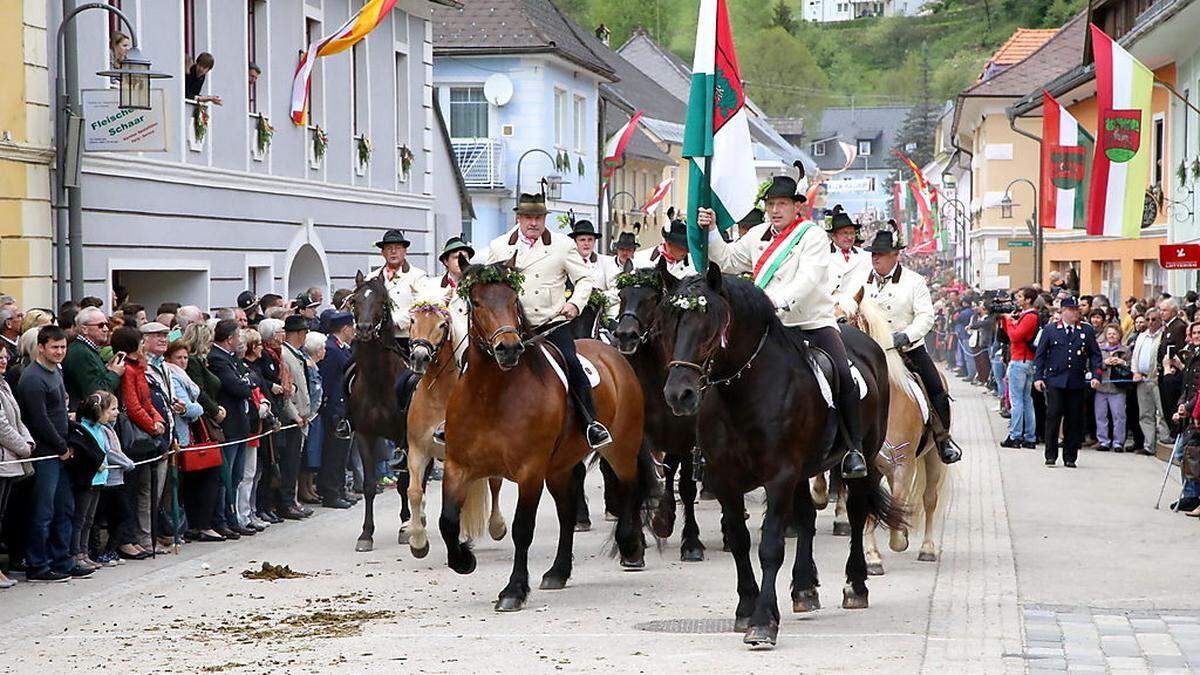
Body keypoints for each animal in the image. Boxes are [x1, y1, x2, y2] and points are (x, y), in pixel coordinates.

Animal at [403, 299, 506, 557]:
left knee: (494, 483)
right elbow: (414, 491)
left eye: (442, 325)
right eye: (412, 321)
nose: (419, 357)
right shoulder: (417, 450)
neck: (437, 396)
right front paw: (418, 542)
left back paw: (496, 526)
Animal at [614, 263, 705, 557]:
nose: (625, 336)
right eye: (622, 295)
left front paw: (691, 542)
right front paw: (634, 543)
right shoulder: (642, 434)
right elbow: (642, 479)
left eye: (652, 298)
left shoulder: (687, 435)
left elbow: (686, 485)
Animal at [657, 261, 902, 648]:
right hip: (802, 472)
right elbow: (740, 540)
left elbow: (770, 545)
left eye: (709, 322)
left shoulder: (779, 476)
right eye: (668, 320)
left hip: (860, 457)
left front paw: (762, 622)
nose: (679, 394)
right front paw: (746, 607)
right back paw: (803, 588)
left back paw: (855, 585)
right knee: (805, 518)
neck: (743, 392)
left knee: (857, 513)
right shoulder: (726, 479)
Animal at [854, 294, 955, 571]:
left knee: (928, 498)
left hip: (932, 458)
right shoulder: (870, 466)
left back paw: (927, 548)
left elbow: (900, 501)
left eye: (844, 318)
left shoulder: (903, 462)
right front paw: (872, 557)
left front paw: (898, 539)